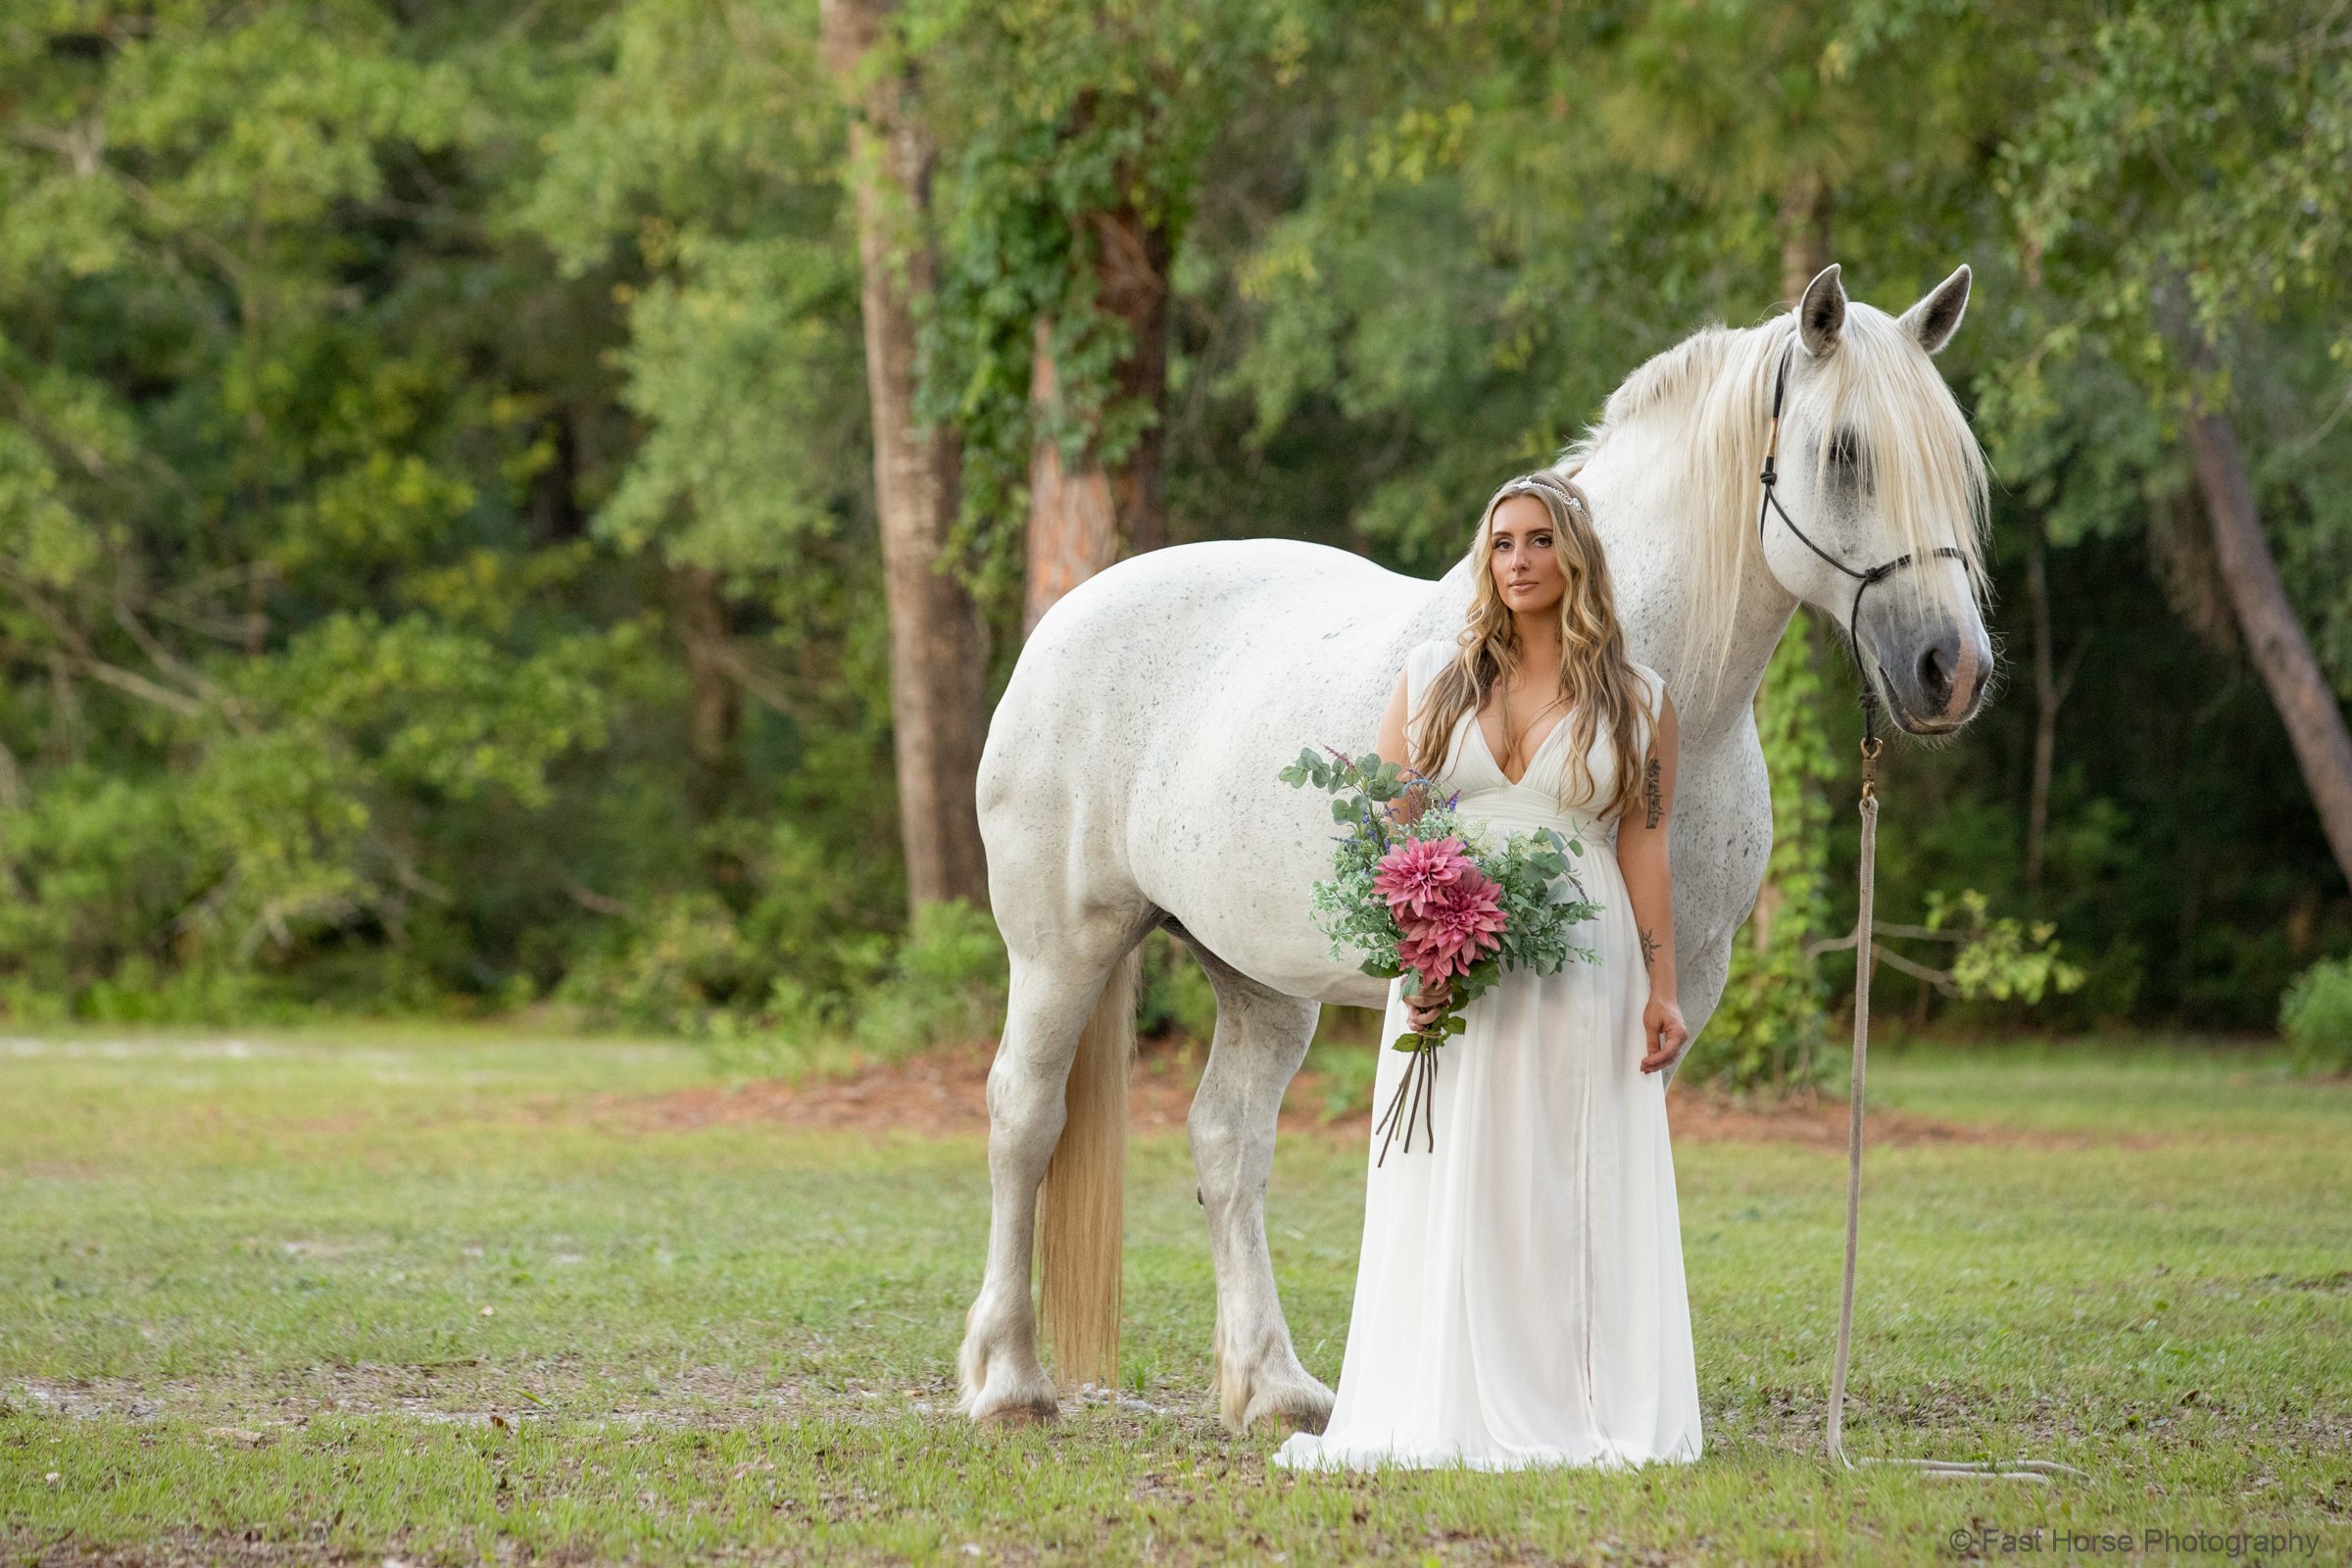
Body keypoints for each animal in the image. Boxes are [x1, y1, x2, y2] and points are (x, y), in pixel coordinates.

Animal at [945, 267, 1994, 1439]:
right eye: (1847, 451)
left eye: (1955, 460)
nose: (1951, 669)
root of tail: (1066, 617)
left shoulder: (1680, 982)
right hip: (1061, 950)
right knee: (1024, 1119)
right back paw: (1009, 1381)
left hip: (1260, 980)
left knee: (1229, 1144)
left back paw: (1274, 1387)